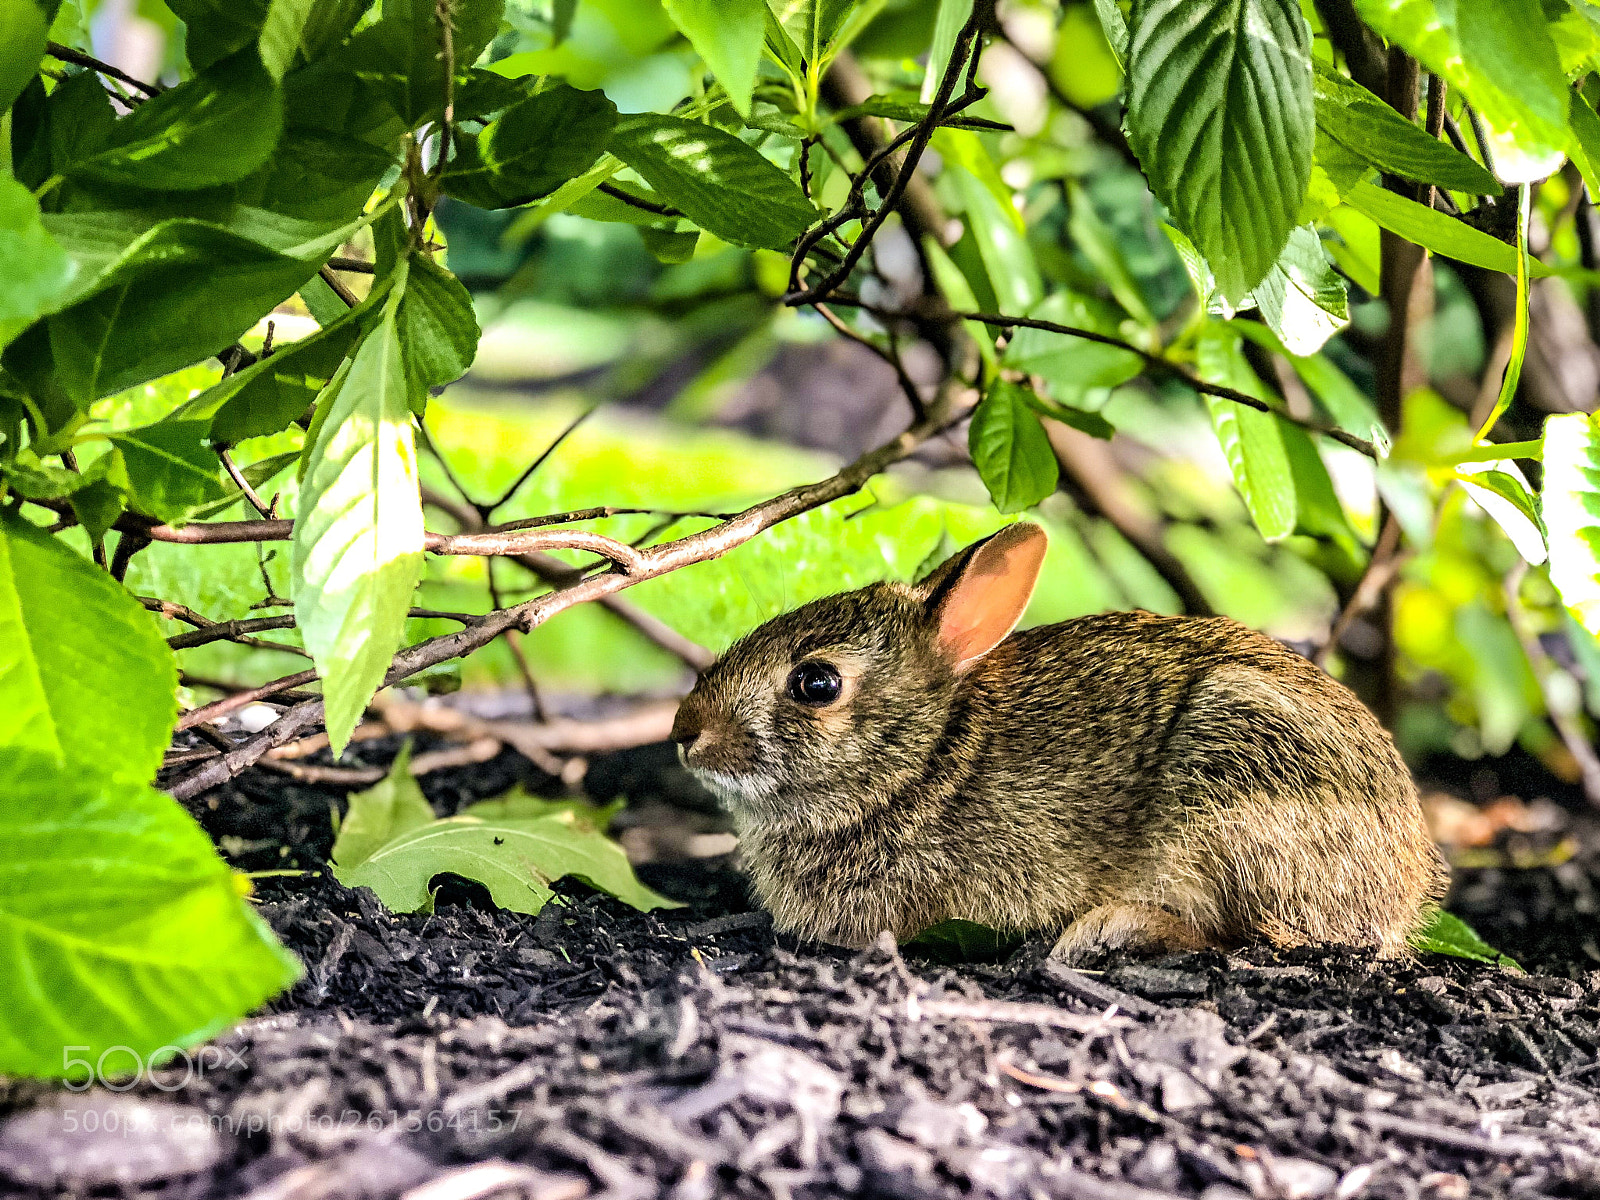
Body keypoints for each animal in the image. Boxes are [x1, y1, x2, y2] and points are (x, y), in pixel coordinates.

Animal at [670, 522, 1449, 962]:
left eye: (817, 683)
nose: (685, 734)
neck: (922, 761)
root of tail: (1406, 887)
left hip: (1234, 772)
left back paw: (1106, 930)